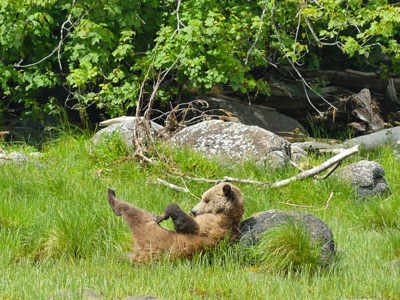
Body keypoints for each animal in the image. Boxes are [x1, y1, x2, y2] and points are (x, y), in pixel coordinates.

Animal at [107, 183, 244, 264]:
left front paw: (163, 215)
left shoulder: (213, 224)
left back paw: (111, 195)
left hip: (151, 234)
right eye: (202, 197)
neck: (227, 213)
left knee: (133, 212)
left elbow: (187, 225)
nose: (193, 210)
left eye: (207, 200)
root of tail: (140, 255)